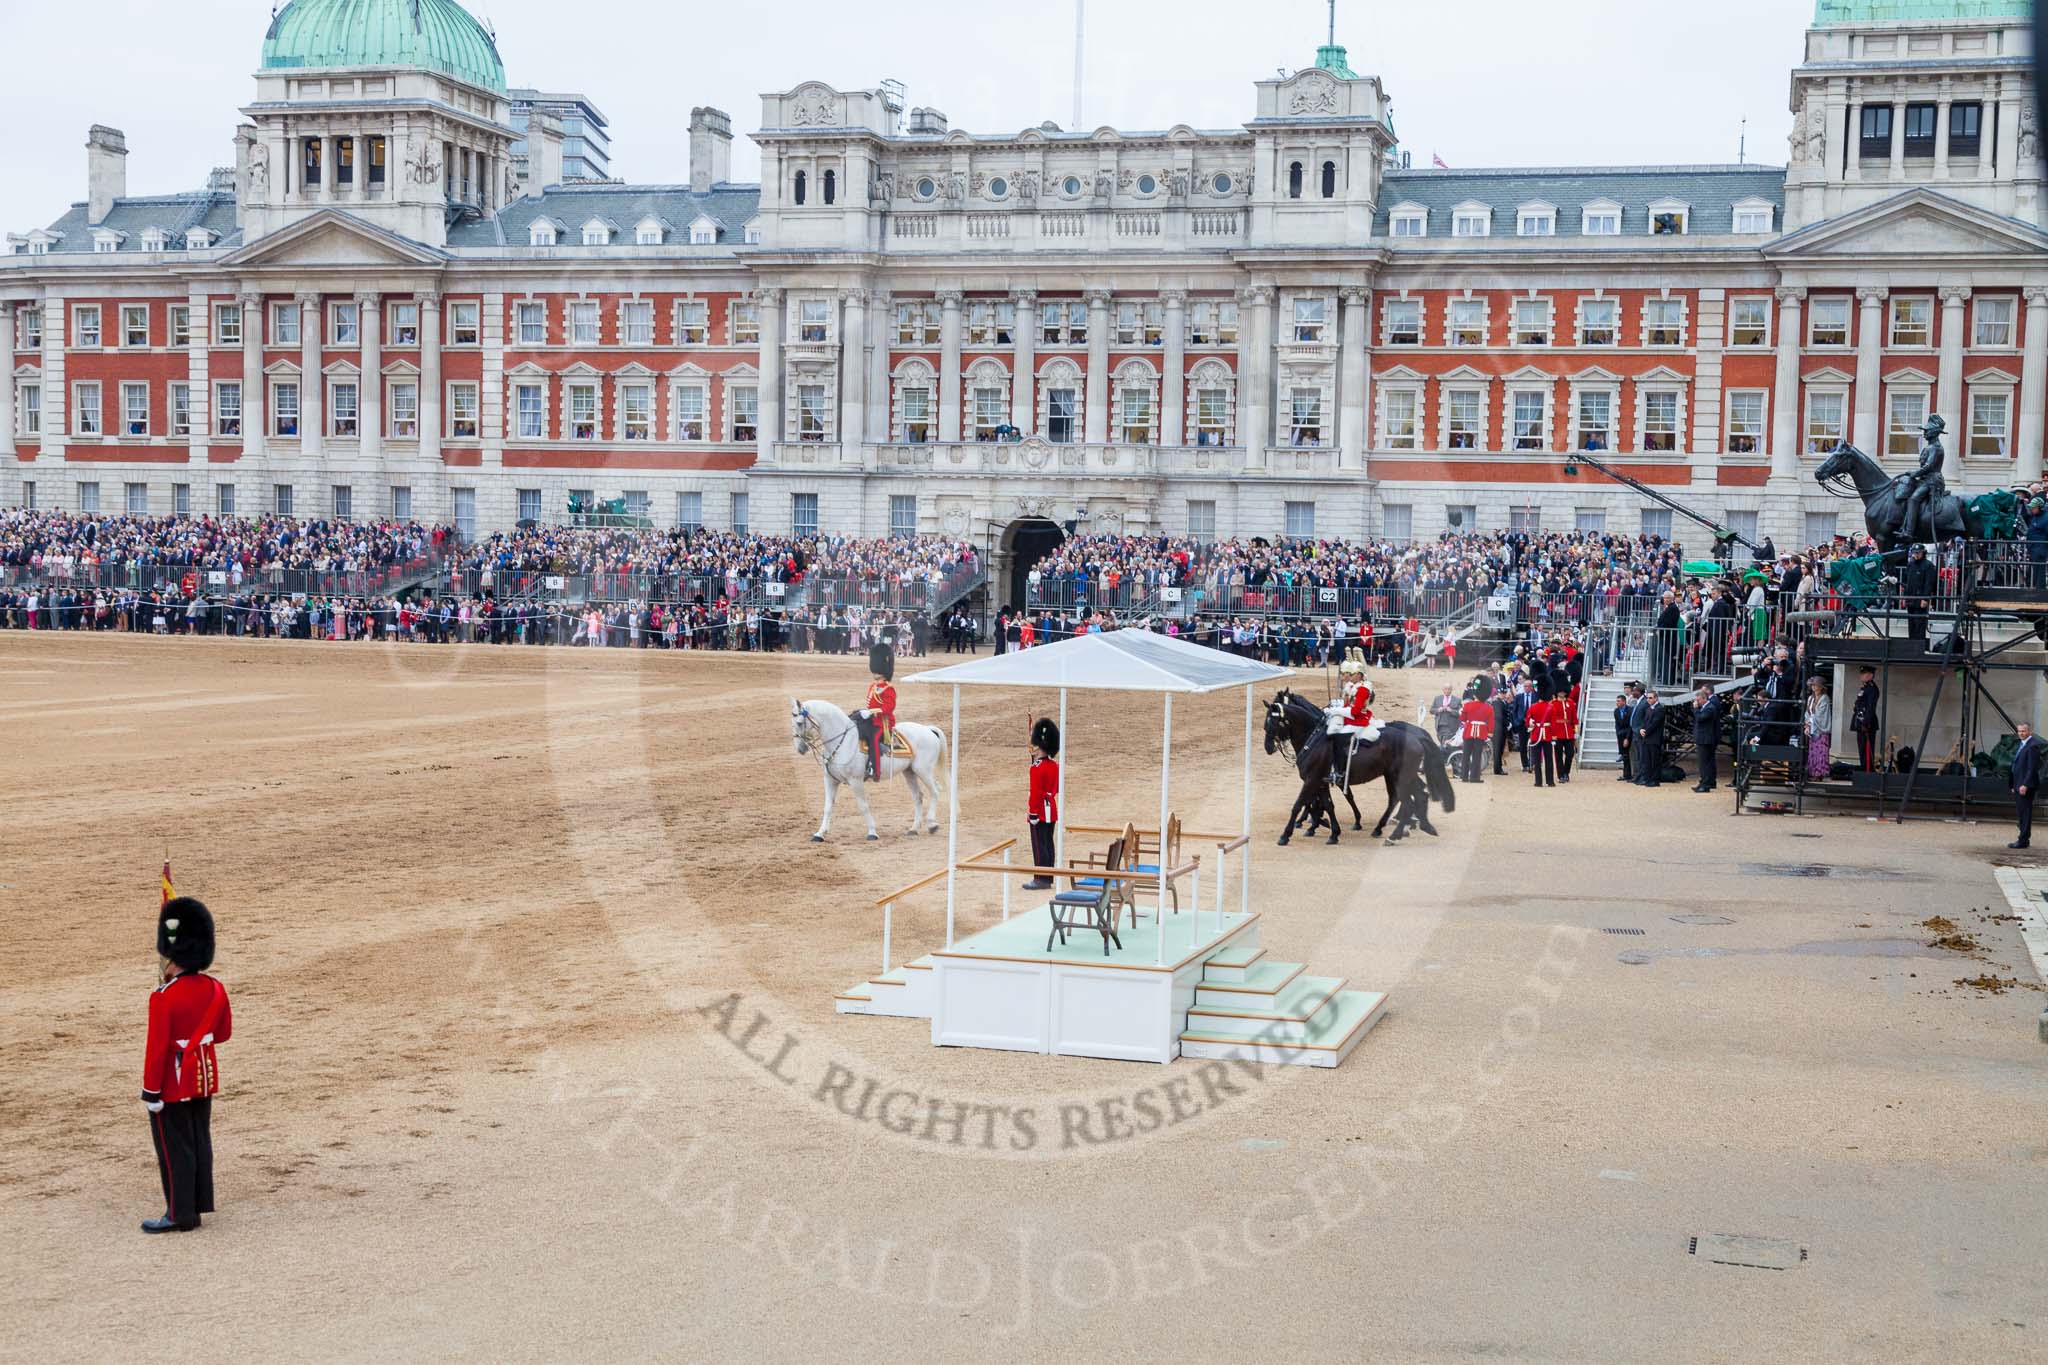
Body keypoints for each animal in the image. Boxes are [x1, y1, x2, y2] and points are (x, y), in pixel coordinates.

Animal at [786, 703, 946, 843]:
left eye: (799, 722)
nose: (800, 749)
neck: (843, 742)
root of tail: (928, 729)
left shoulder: (855, 780)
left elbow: (863, 806)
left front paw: (872, 832)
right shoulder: (830, 780)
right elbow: (827, 807)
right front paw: (819, 834)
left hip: (923, 770)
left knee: (935, 791)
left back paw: (932, 824)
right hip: (909, 772)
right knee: (918, 797)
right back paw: (913, 829)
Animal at [1261, 695, 1458, 843]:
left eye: (1272, 722)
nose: (1268, 747)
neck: (1313, 737)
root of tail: (1417, 737)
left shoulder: (1312, 780)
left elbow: (1299, 804)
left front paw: (1287, 834)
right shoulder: (1321, 781)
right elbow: (1328, 804)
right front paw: (1332, 831)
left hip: (1399, 777)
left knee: (1408, 799)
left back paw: (1397, 832)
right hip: (1394, 776)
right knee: (1410, 796)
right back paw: (1408, 826)